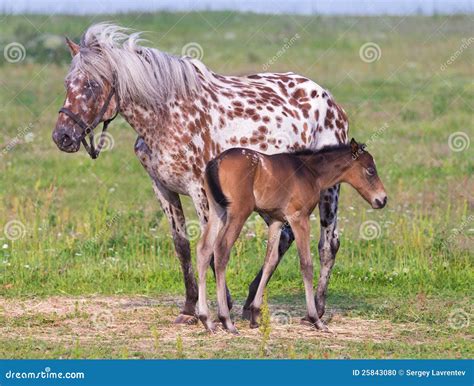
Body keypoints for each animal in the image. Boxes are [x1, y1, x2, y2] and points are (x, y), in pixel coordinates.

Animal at [51, 23, 350, 326]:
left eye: (92, 85)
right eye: (67, 83)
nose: (62, 136)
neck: (167, 117)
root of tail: (330, 101)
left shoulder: (201, 191)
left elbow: (211, 246)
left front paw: (220, 306)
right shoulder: (163, 189)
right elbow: (182, 246)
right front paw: (189, 307)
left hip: (328, 191)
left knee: (328, 244)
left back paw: (317, 309)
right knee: (284, 238)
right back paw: (252, 303)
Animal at [195, 137, 386, 334]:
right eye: (370, 170)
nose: (382, 199)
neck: (310, 172)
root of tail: (216, 162)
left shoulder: (276, 220)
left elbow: (270, 261)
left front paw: (255, 315)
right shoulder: (299, 218)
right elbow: (306, 265)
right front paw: (316, 320)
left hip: (217, 211)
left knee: (204, 249)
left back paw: (207, 320)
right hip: (239, 212)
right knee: (221, 249)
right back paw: (226, 321)